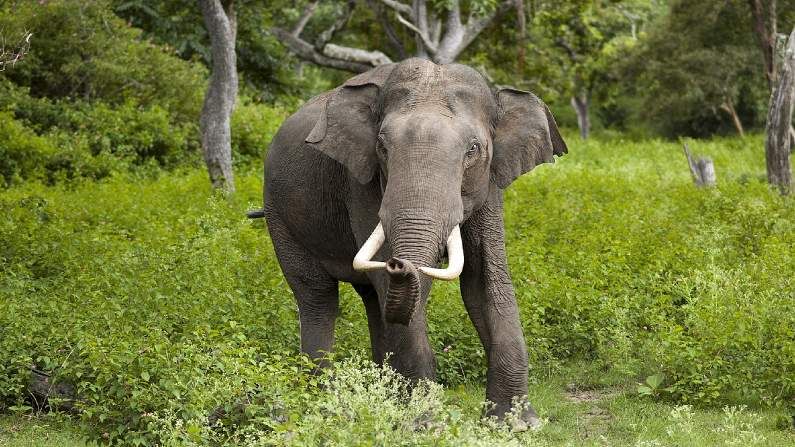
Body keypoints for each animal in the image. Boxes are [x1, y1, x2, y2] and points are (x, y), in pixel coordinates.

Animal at [260, 57, 564, 428]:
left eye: (473, 149)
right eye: (382, 147)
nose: (398, 263)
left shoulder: (491, 182)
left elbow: (484, 281)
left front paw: (516, 424)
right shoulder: (361, 181)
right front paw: (426, 425)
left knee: (372, 300)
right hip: (279, 215)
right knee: (318, 296)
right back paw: (324, 401)